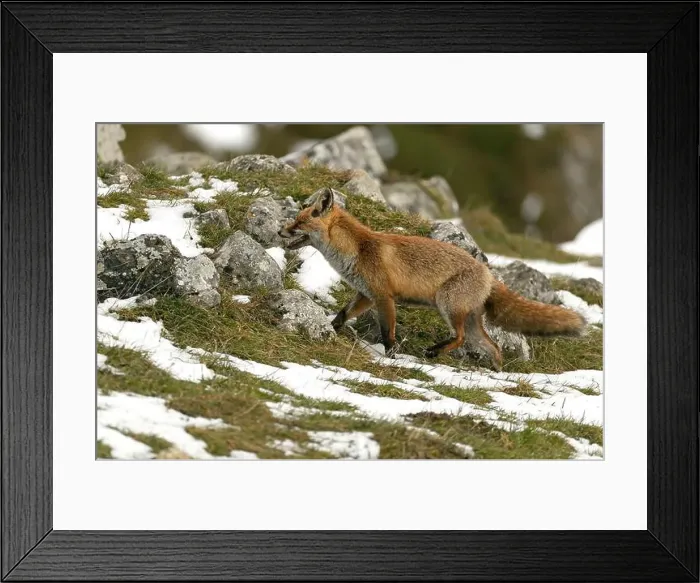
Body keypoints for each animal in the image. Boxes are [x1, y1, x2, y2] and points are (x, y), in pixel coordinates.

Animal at [278, 187, 585, 371]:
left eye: (300, 222)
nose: (281, 231)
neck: (358, 249)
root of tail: (488, 272)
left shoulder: (384, 297)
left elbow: (388, 334)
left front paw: (391, 358)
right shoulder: (366, 295)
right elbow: (341, 316)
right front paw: (329, 329)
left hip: (447, 305)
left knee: (460, 338)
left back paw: (435, 352)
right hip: (470, 318)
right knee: (492, 346)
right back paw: (496, 372)